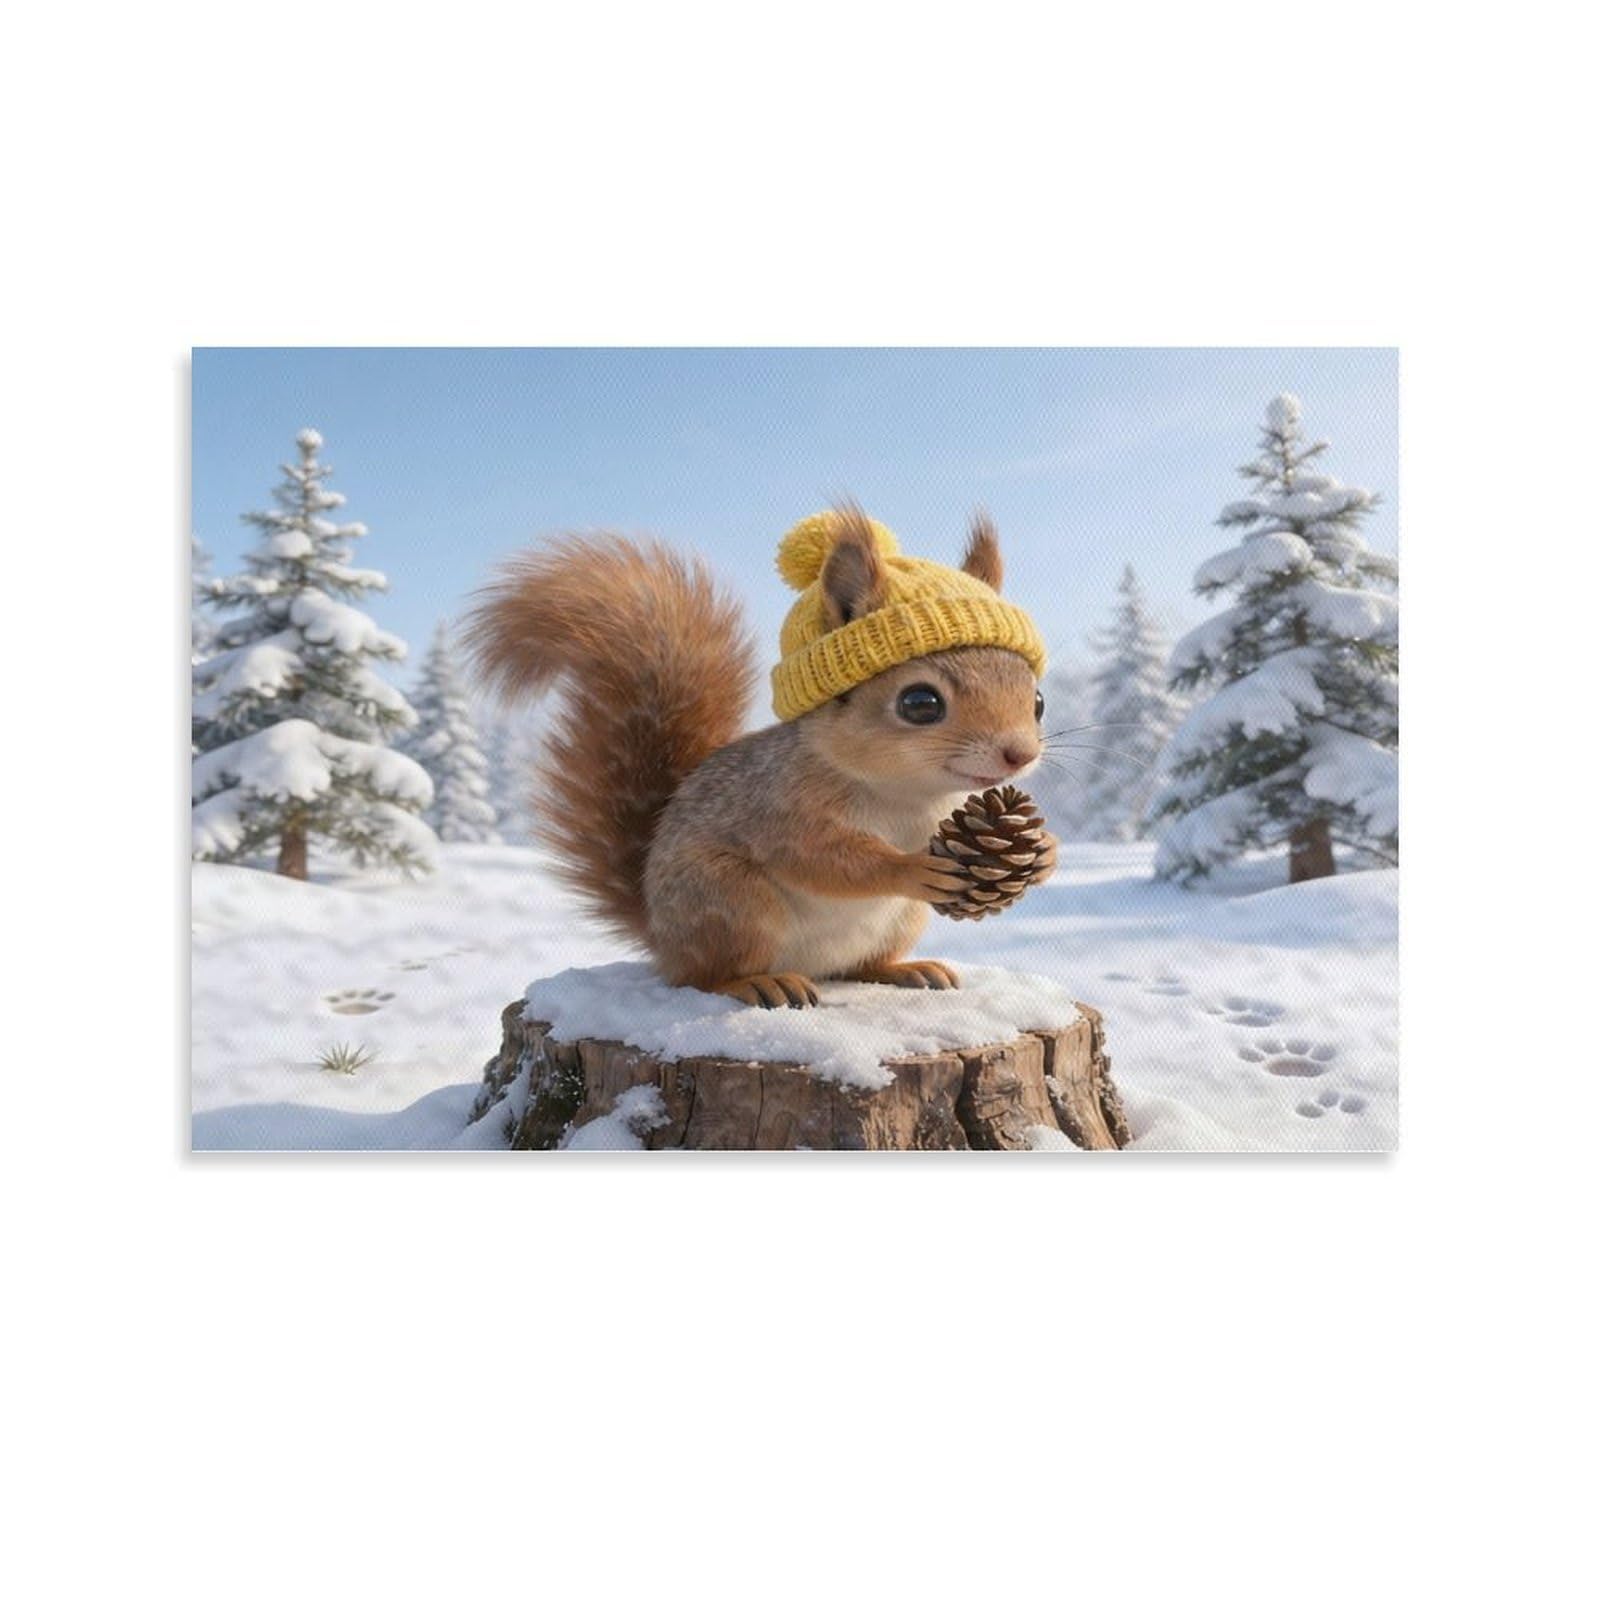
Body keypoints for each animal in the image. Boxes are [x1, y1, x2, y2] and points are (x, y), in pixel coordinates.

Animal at [466, 504, 1056, 1009]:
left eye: (1038, 701)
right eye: (919, 703)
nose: (1019, 754)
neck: (907, 795)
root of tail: (661, 938)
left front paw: (1044, 853)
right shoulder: (779, 806)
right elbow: (822, 858)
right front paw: (909, 866)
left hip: (897, 921)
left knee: (859, 966)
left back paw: (906, 969)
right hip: (731, 900)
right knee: (703, 977)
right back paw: (757, 983)